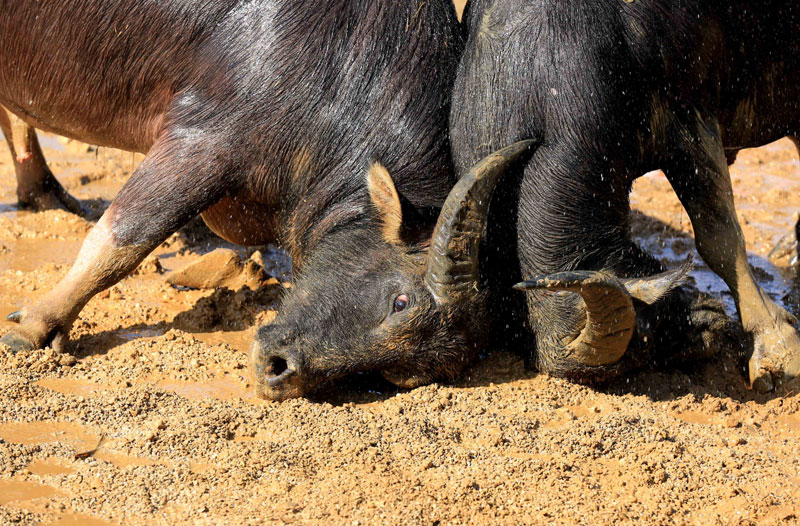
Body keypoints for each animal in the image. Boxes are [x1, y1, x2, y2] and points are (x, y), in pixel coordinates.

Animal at [1, 0, 536, 400]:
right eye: (400, 300)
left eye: (397, 375)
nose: (279, 371)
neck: (345, 68)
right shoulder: (202, 141)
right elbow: (122, 239)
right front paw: (32, 327)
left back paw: (44, 193)